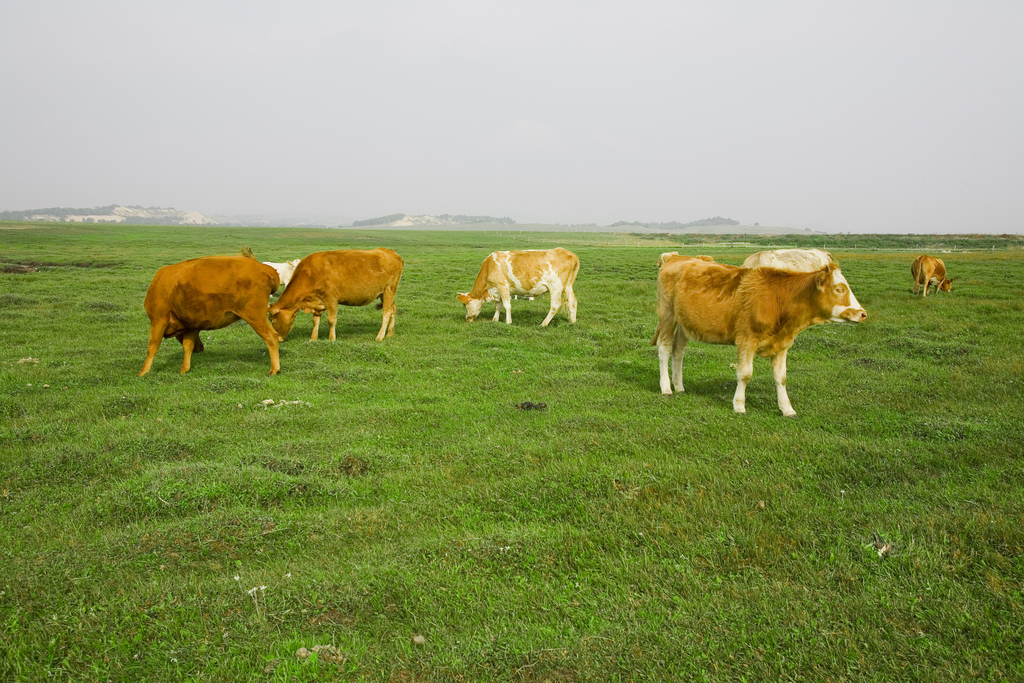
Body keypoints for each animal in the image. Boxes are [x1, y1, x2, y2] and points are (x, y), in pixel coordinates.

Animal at [138, 254, 284, 376]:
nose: (200, 348)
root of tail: (263, 267)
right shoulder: (191, 326)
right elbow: (187, 346)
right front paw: (184, 369)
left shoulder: (158, 320)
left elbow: (152, 347)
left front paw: (143, 372)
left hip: (255, 317)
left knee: (271, 337)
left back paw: (274, 369)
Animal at [268, 248, 403, 342]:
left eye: (271, 319)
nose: (277, 339)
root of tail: (390, 251)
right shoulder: (318, 301)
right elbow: (315, 321)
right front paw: (313, 338)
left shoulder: (331, 298)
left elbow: (331, 320)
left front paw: (332, 338)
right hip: (384, 294)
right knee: (393, 308)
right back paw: (390, 333)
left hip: (389, 289)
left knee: (387, 312)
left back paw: (380, 336)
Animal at [651, 255, 868, 417]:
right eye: (839, 289)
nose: (862, 313)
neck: (779, 299)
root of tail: (677, 258)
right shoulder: (746, 340)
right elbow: (745, 373)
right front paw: (739, 405)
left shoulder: (782, 344)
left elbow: (781, 377)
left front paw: (787, 408)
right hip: (667, 315)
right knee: (664, 349)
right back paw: (666, 388)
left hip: (685, 323)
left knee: (678, 351)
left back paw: (679, 386)